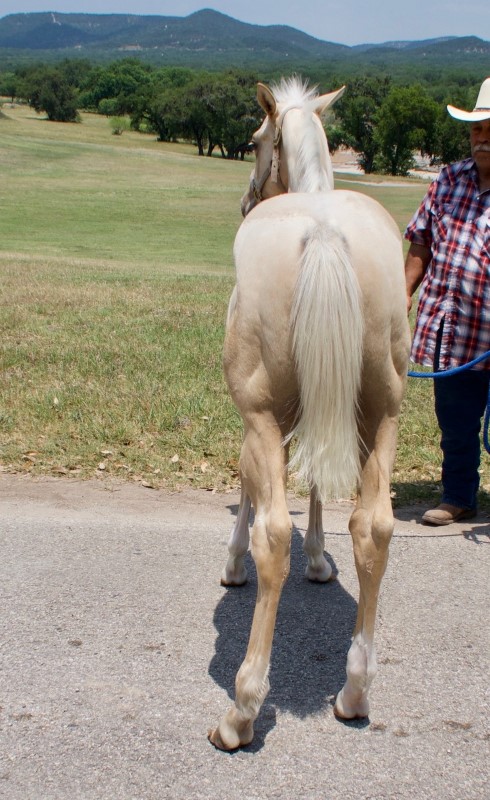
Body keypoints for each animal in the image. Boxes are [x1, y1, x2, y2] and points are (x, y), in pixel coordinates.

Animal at [209, 76, 412, 752]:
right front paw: (321, 560)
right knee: (375, 529)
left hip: (263, 414)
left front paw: (234, 566)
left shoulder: (257, 417)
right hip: (383, 415)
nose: (245, 200)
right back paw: (355, 691)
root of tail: (323, 233)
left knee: (274, 533)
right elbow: (321, 480)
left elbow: (250, 491)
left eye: (253, 140)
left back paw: (242, 711)